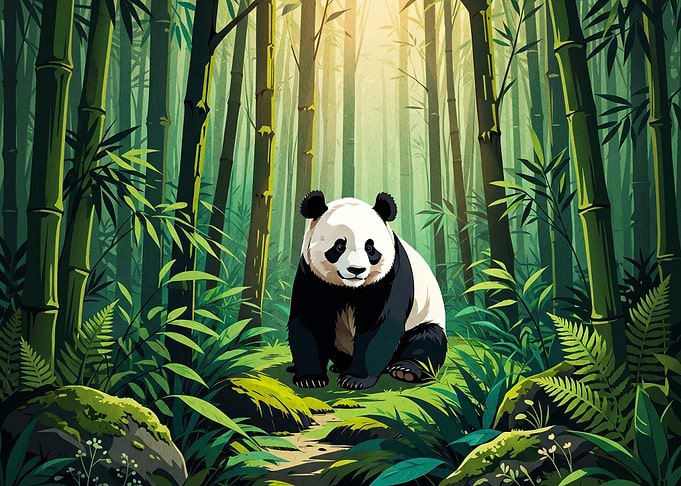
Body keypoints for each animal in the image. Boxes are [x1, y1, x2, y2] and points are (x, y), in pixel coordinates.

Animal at [287, 190, 447, 390]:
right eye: (339, 246)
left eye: (370, 247)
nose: (356, 270)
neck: (350, 288)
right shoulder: (311, 275)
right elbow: (310, 320)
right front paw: (310, 377)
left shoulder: (390, 277)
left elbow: (379, 326)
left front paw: (355, 379)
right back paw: (337, 366)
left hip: (425, 317)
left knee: (428, 340)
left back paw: (405, 370)